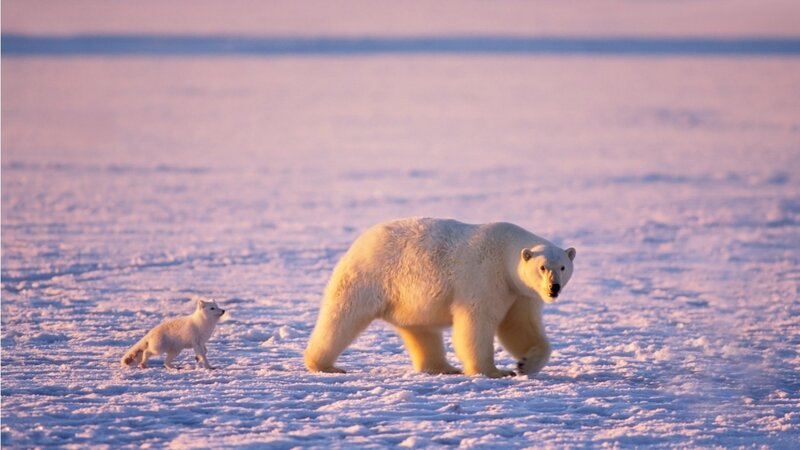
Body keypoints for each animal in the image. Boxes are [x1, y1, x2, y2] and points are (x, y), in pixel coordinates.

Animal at [304, 217, 576, 378]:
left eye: (563, 266)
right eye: (542, 267)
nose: (553, 288)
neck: (506, 250)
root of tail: (360, 241)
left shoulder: (520, 293)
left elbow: (519, 326)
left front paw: (524, 364)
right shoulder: (485, 276)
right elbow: (476, 322)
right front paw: (493, 371)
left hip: (408, 300)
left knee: (421, 331)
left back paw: (442, 367)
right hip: (370, 277)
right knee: (342, 317)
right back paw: (324, 365)